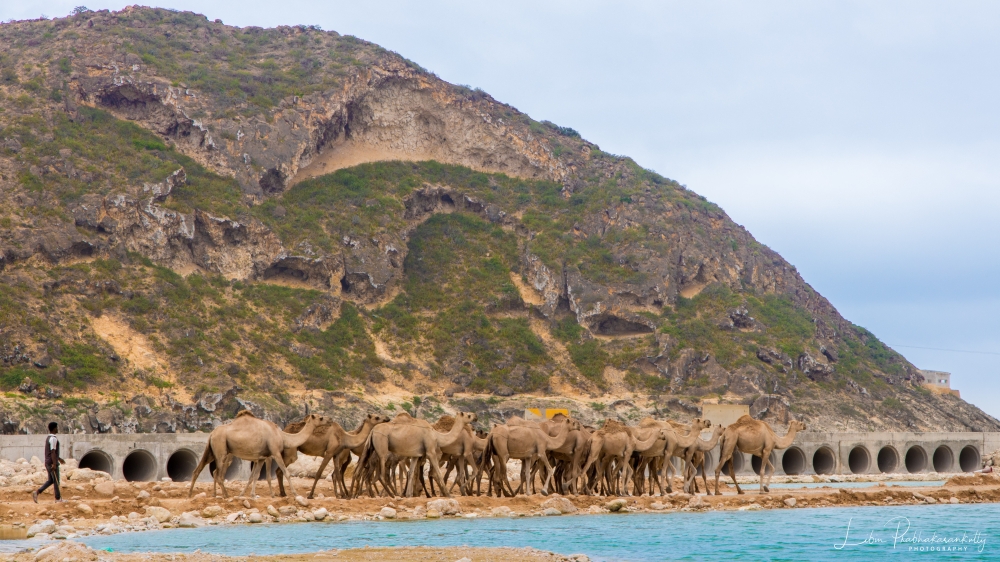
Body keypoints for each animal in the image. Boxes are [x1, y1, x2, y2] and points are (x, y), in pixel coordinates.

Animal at [188, 411, 328, 499]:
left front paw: (252, 495)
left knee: (199, 470)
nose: (329, 420)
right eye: (320, 418)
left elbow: (255, 476)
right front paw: (295, 494)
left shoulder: (261, 458)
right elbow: (286, 473)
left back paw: (193, 494)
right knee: (218, 474)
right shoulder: (275, 453)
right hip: (221, 450)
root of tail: (212, 433)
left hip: (211, 451)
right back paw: (225, 495)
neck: (282, 436)